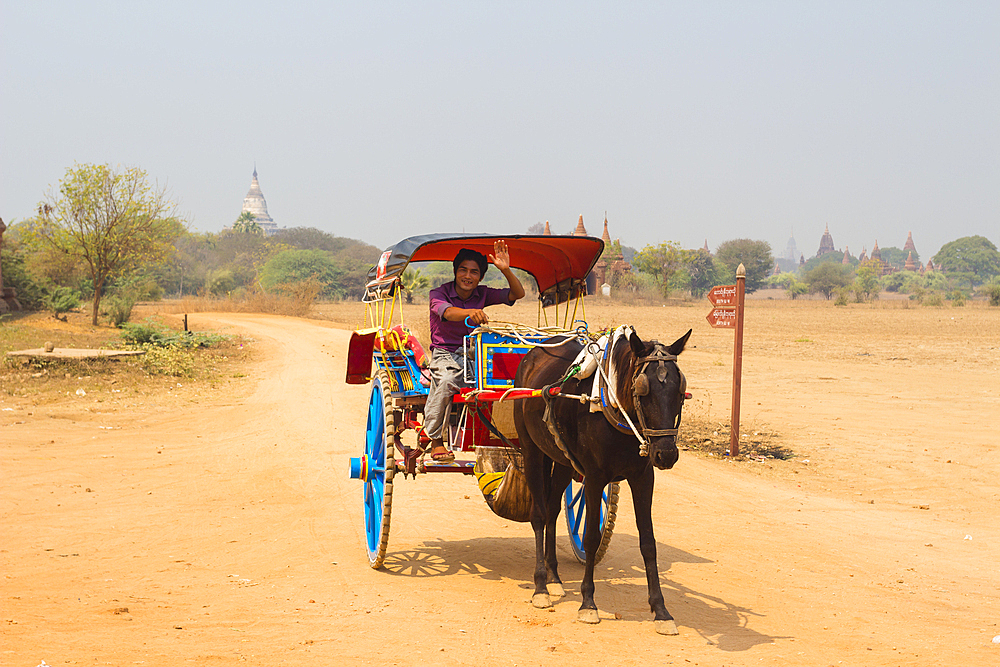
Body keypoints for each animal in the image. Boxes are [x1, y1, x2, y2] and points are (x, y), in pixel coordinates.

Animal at [512, 328, 692, 636]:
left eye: (680, 392)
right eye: (642, 391)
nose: (666, 453)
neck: (617, 408)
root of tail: (534, 353)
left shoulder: (643, 477)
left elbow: (648, 542)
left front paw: (661, 610)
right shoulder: (595, 478)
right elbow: (591, 538)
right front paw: (588, 604)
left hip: (563, 460)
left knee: (552, 511)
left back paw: (555, 578)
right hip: (531, 449)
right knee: (538, 516)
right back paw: (541, 586)